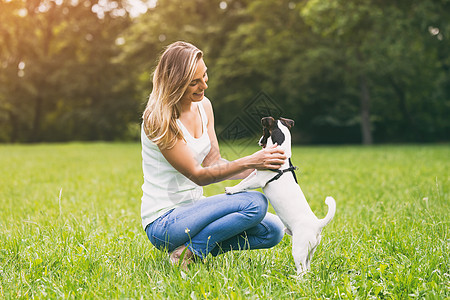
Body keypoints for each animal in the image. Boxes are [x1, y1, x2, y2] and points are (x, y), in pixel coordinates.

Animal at [225, 116, 334, 276]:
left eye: (264, 131)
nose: (259, 141)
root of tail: (317, 225)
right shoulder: (255, 173)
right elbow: (243, 181)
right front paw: (233, 187)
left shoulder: (259, 179)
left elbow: (244, 185)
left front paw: (231, 190)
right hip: (310, 251)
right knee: (307, 267)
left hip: (299, 249)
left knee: (302, 271)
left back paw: (295, 279)